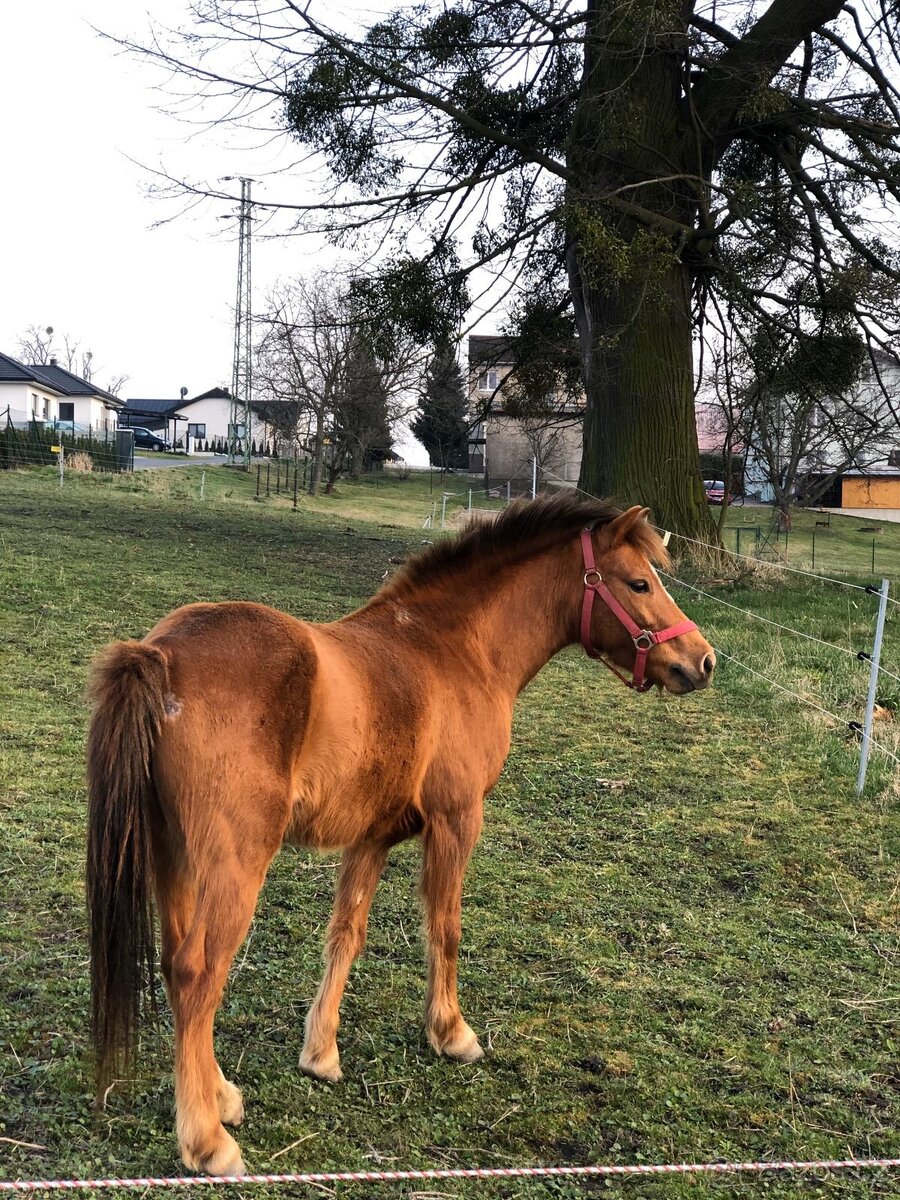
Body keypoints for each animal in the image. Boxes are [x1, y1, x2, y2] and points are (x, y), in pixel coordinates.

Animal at [86, 495, 714, 1174]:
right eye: (640, 583)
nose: (703, 660)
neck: (453, 652)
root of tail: (160, 656)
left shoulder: (373, 837)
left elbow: (346, 937)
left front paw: (321, 1053)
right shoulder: (457, 821)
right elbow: (446, 928)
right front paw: (452, 1032)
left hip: (174, 857)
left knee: (177, 967)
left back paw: (219, 1094)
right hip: (234, 865)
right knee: (197, 973)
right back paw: (205, 1137)